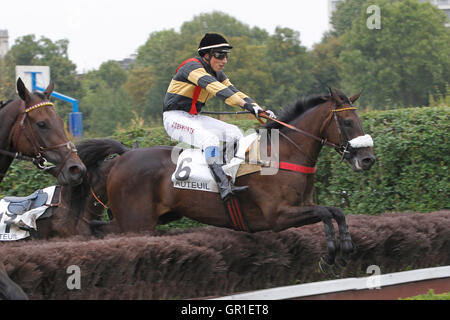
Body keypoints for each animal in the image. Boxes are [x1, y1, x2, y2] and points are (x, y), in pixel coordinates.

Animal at [99, 89, 376, 266]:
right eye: (348, 122)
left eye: (359, 119)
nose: (368, 159)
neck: (281, 154)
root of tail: (124, 155)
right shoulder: (278, 215)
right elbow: (325, 213)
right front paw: (330, 254)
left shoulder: (302, 206)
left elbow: (335, 212)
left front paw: (345, 249)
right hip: (137, 223)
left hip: (143, 219)